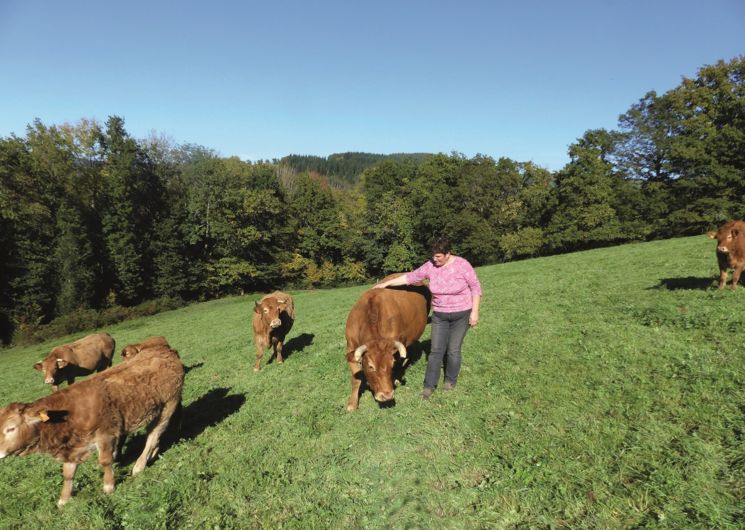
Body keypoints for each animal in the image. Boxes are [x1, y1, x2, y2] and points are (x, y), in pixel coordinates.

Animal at [0, 344, 185, 506]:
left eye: (11, 428)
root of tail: (164, 350)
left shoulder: (105, 435)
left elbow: (105, 461)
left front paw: (108, 486)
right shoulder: (72, 449)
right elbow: (68, 474)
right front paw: (64, 500)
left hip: (168, 404)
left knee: (153, 435)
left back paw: (139, 466)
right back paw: (152, 455)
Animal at [344, 274, 430, 410]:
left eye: (391, 364)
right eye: (371, 366)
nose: (387, 395)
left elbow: (399, 362)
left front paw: (396, 378)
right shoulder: (350, 347)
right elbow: (356, 380)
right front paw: (352, 404)